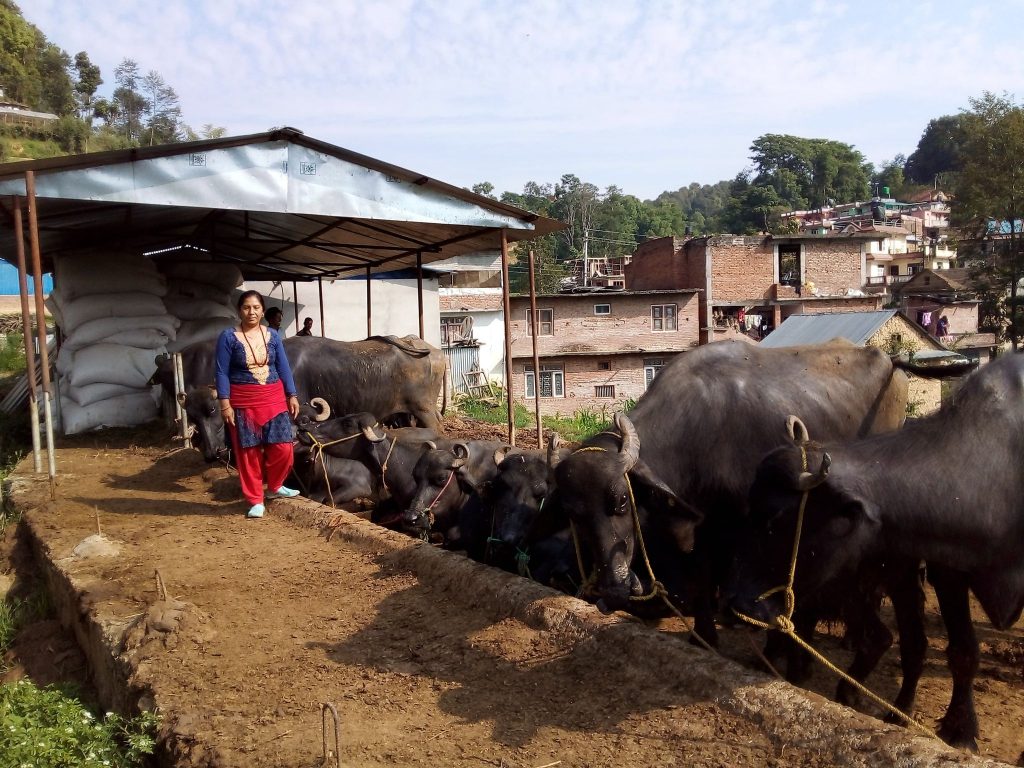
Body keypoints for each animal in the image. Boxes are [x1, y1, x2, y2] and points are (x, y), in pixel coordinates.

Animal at [557, 339, 909, 647]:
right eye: (574, 515)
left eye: (622, 500)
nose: (613, 588)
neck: (699, 433)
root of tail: (891, 361)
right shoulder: (701, 526)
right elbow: (701, 576)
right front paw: (703, 635)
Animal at [729, 354, 1024, 753]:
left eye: (775, 519)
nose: (738, 602)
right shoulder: (948, 570)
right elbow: (961, 651)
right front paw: (958, 727)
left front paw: (961, 732)